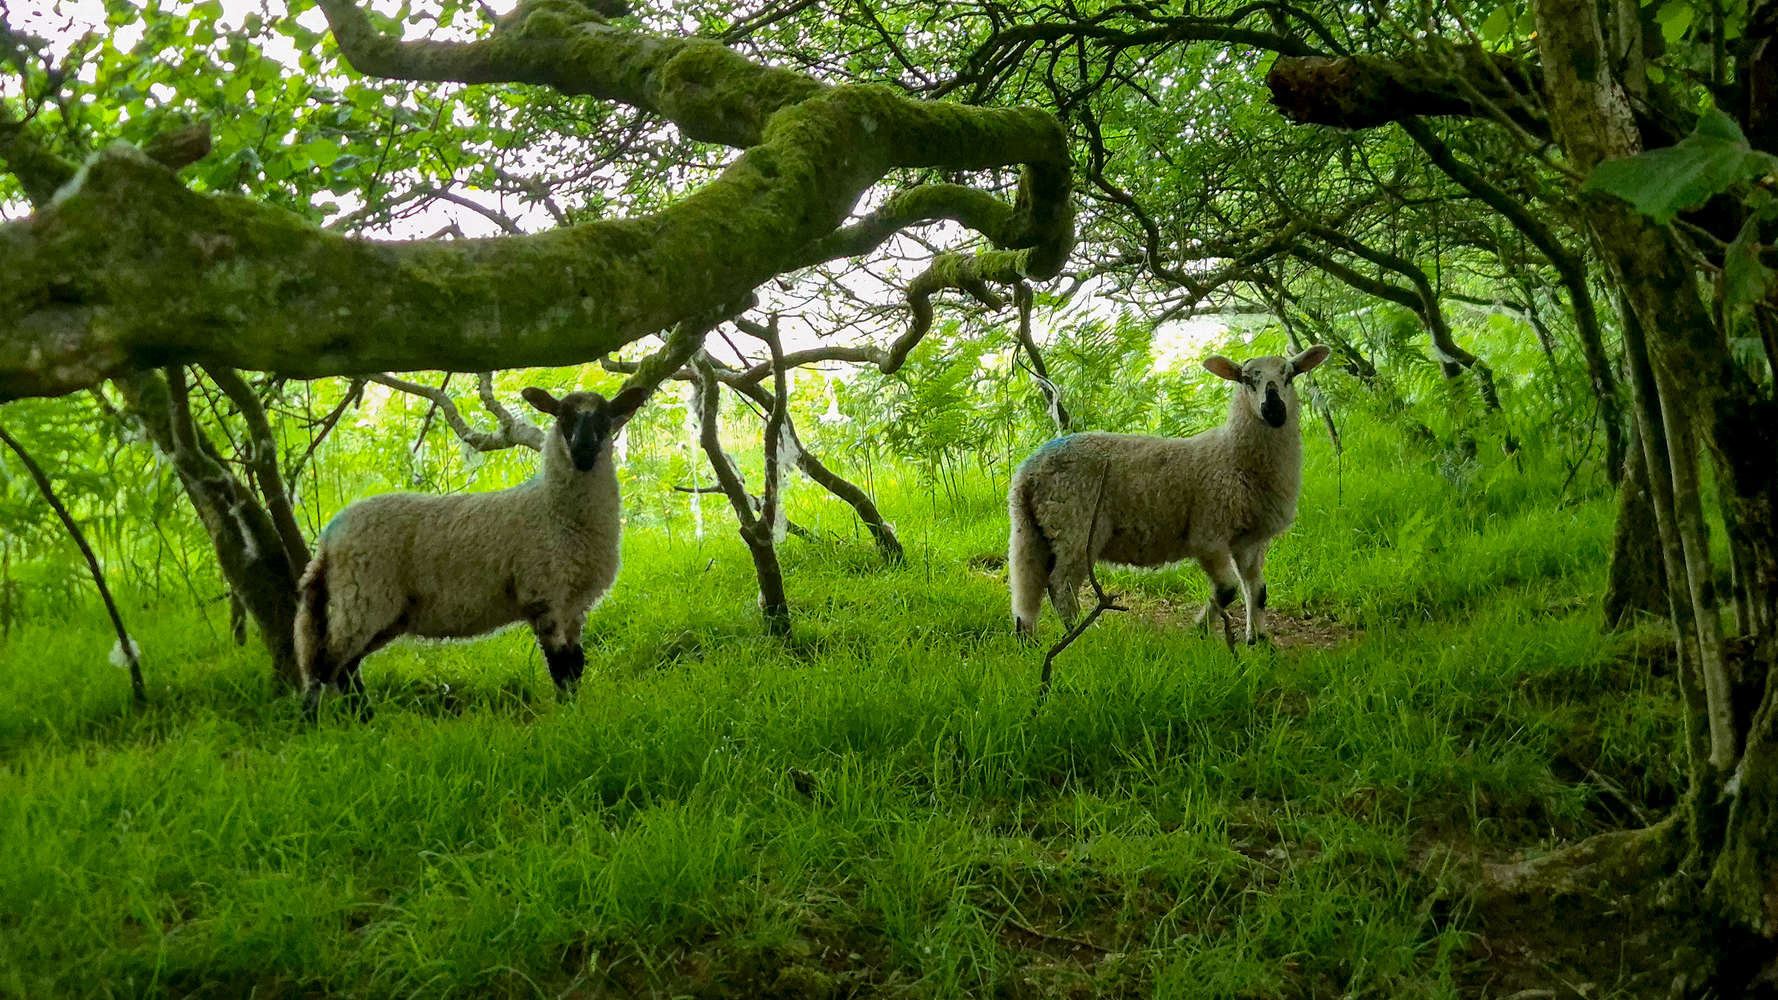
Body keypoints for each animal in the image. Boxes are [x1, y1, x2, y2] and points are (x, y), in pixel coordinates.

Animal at [295, 385, 650, 717]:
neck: (552, 511)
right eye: (562, 417)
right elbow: (560, 666)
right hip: (363, 597)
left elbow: (576, 665)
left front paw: (576, 711)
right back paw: (316, 724)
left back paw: (366, 719)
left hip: (382, 611)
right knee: (325, 665)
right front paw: (566, 717)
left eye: (605, 418)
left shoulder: (576, 603)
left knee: (346, 667)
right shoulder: (542, 594)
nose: (583, 449)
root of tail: (329, 538)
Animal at [1008, 345, 1331, 644]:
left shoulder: (1249, 540)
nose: (1273, 409)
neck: (1233, 456)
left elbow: (1257, 590)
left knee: (1029, 586)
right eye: (1247, 379)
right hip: (1074, 526)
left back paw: (1029, 636)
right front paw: (1199, 630)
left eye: (1290, 375)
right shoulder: (1207, 534)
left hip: (1035, 530)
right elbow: (1227, 590)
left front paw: (1259, 641)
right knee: (1061, 586)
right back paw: (1082, 635)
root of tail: (1028, 473)